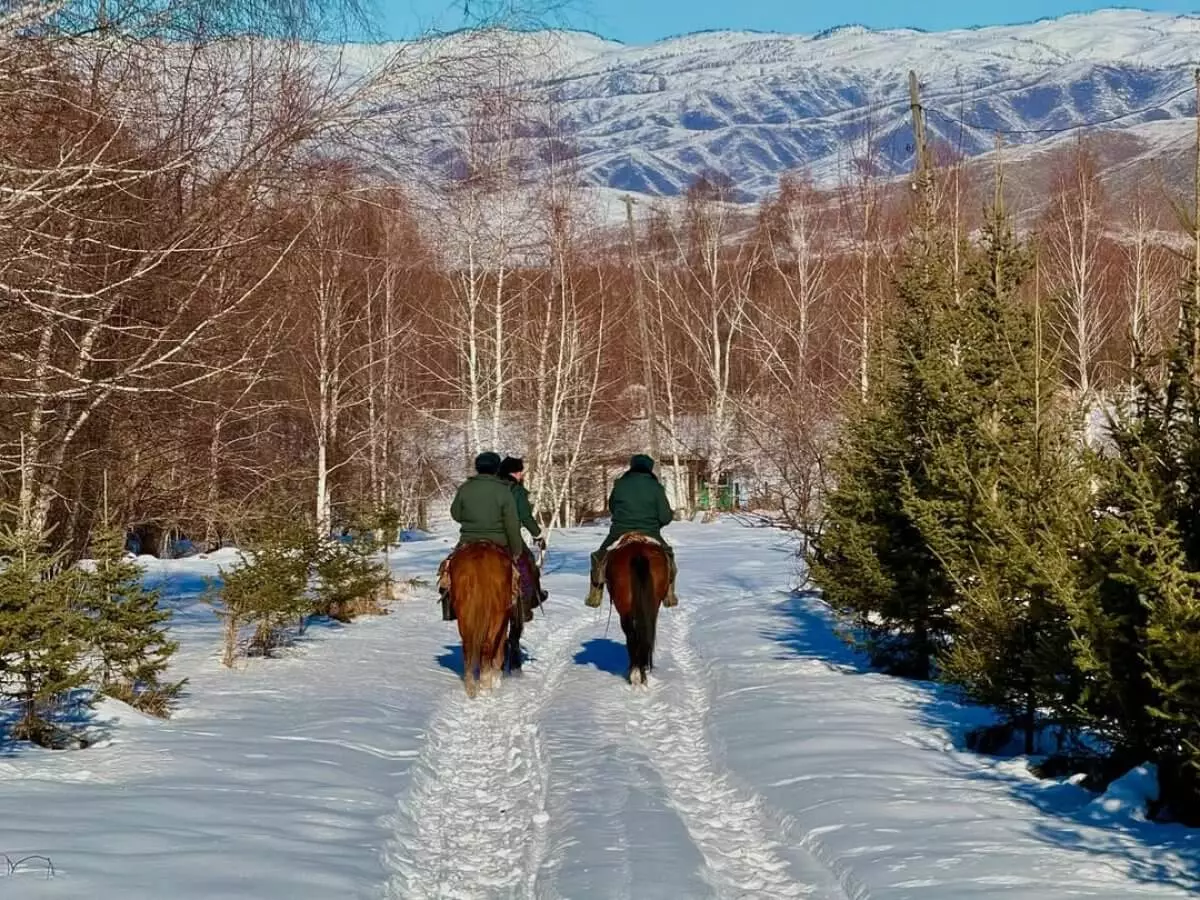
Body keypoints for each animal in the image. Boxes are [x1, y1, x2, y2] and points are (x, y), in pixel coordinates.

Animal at [448, 542, 523, 696]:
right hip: (498, 615)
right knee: (488, 646)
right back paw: (485, 686)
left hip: (464, 614)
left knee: (467, 647)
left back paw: (471, 687)